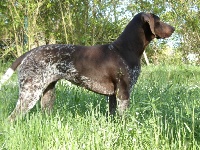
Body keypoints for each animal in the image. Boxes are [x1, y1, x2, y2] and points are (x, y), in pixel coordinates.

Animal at [0, 12, 174, 121]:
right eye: (158, 21)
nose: (173, 28)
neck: (126, 48)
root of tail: (29, 53)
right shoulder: (123, 92)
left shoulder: (113, 95)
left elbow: (113, 115)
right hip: (30, 93)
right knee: (11, 119)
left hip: (47, 93)